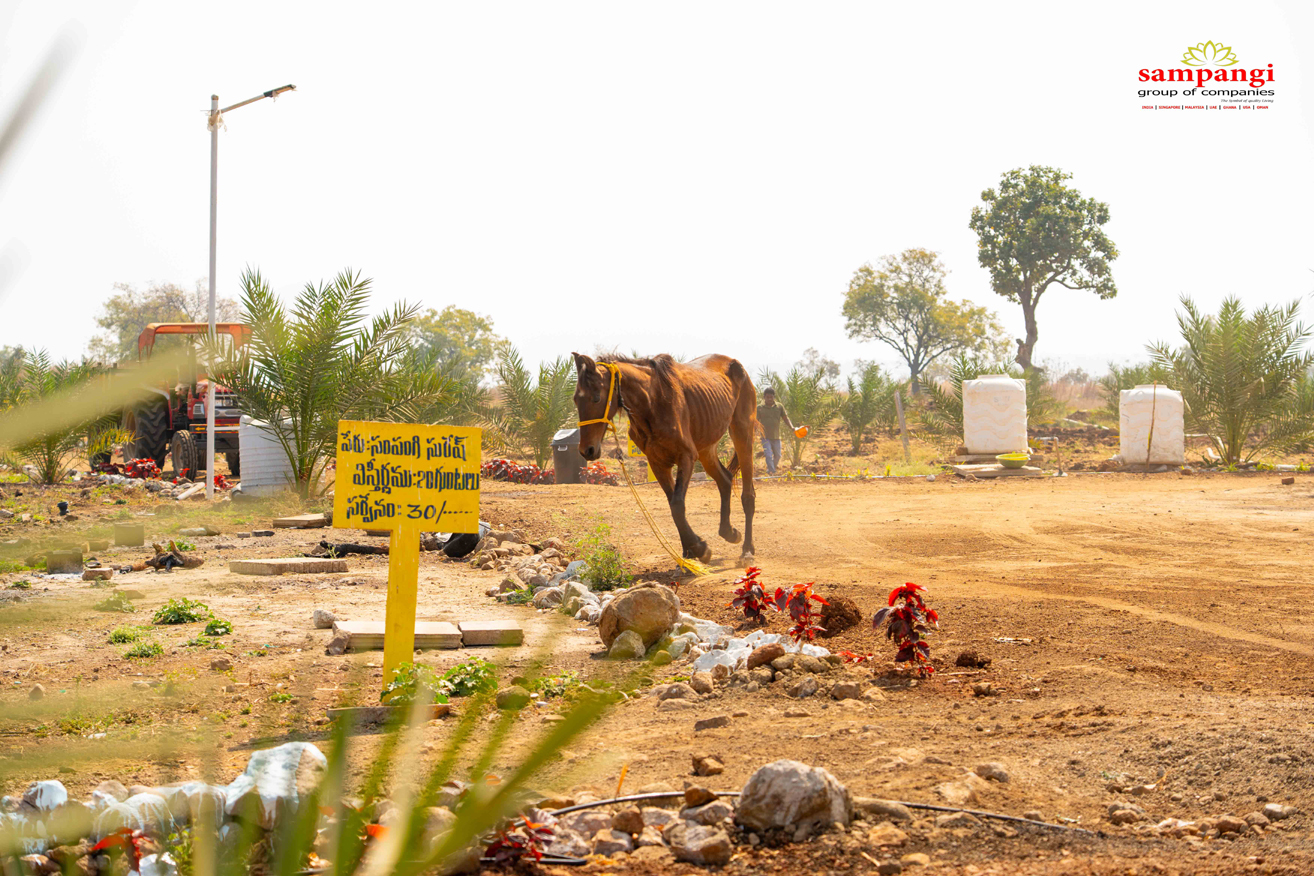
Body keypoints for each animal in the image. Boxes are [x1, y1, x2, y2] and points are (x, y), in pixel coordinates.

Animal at [571, 351, 757, 566]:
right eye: (576, 400)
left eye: (596, 398)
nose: (587, 450)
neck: (653, 403)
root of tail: (736, 365)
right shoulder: (657, 463)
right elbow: (673, 505)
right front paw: (690, 551)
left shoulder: (686, 457)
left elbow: (677, 505)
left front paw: (700, 548)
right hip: (706, 448)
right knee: (725, 480)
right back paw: (729, 532)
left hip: (742, 432)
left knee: (748, 495)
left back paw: (747, 551)